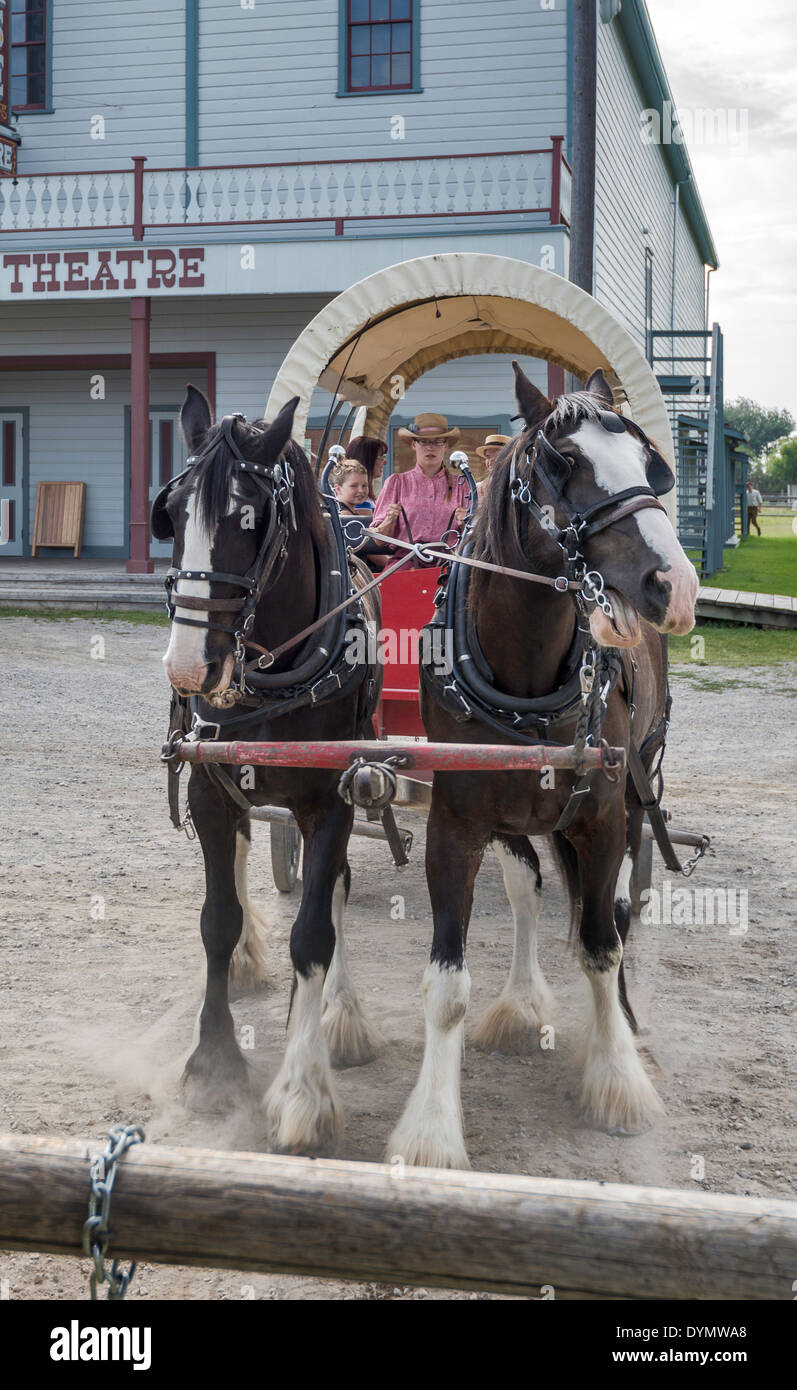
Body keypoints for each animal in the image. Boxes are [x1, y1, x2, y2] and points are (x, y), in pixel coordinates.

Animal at [389, 364, 695, 1167]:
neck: (525, 675)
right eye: (562, 463)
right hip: (512, 815)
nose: (674, 585)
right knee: (526, 888)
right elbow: (448, 982)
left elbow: (600, 943)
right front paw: (431, 1130)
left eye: (653, 465)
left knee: (608, 912)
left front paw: (617, 1078)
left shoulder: (604, 817)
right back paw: (523, 1004)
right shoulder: (455, 823)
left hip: (633, 788)